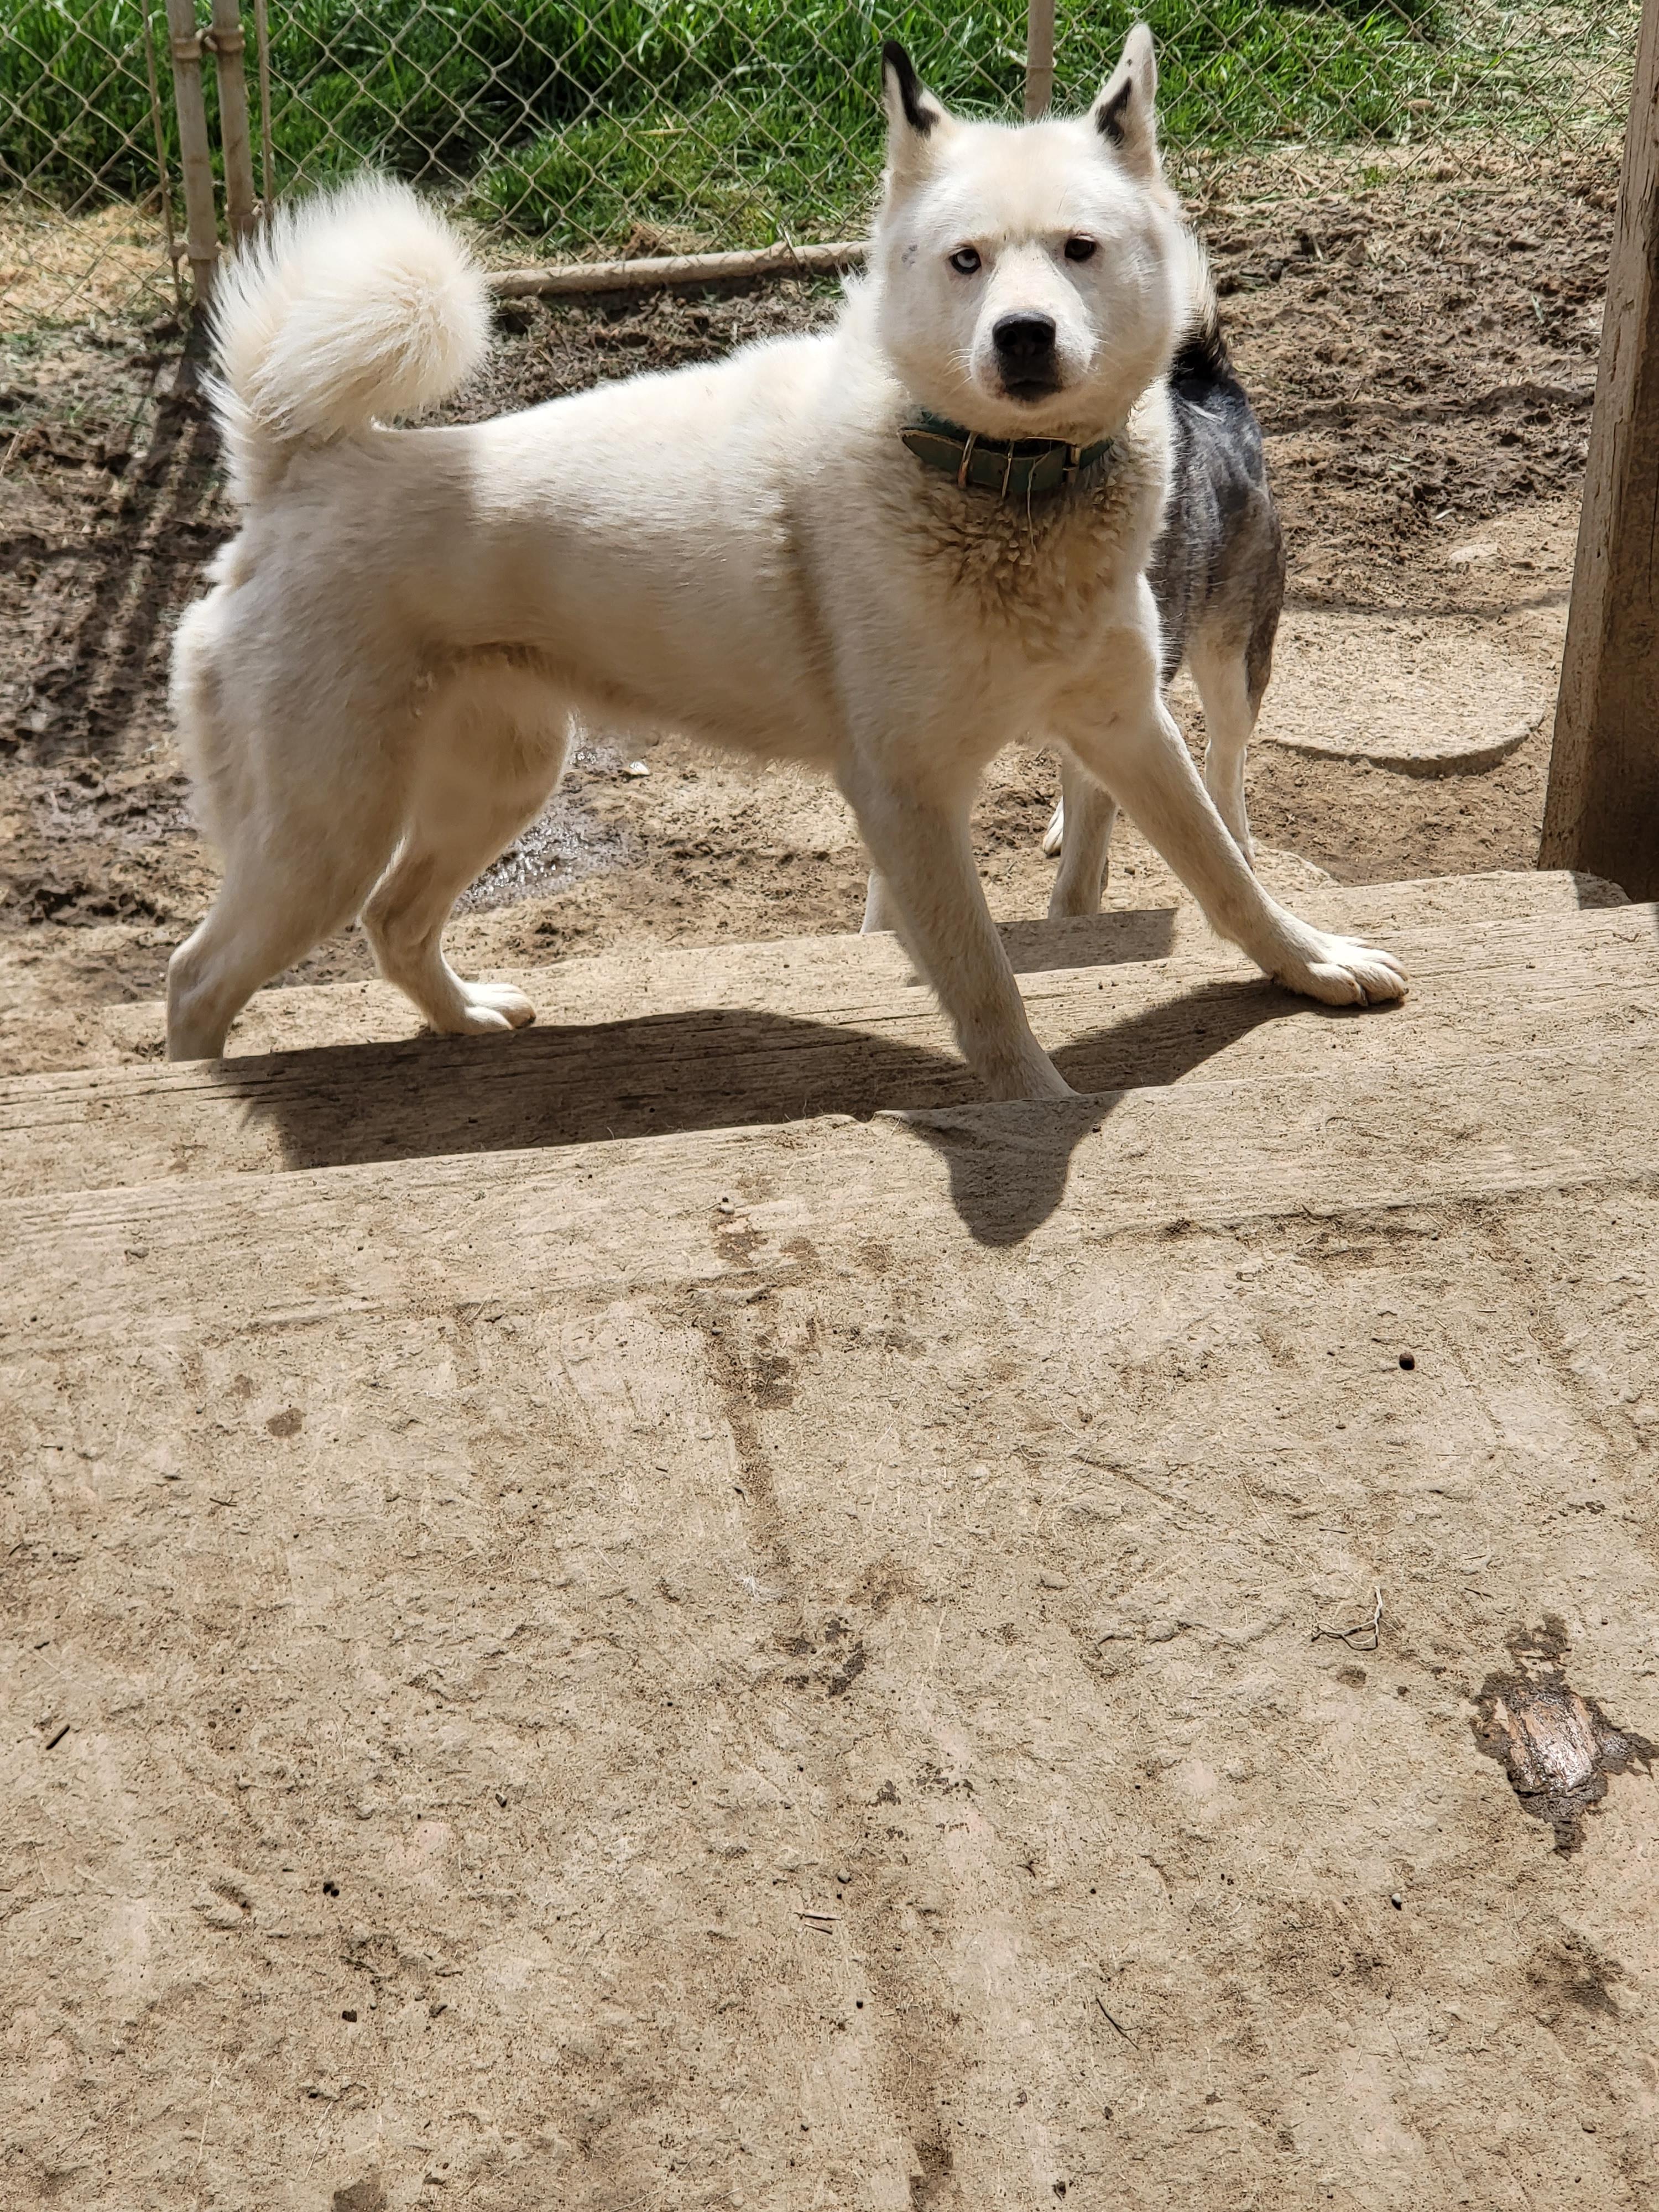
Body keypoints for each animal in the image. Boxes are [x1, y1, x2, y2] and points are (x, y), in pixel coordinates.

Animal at [167, 26, 1403, 1096]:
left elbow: (1223, 872)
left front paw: (1311, 965)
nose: (1023, 336)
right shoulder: (905, 794)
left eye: (1079, 249)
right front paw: (1035, 1106)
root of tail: (300, 468)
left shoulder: (1125, 725)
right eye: (966, 261)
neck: (994, 483)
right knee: (198, 976)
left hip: (497, 782)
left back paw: (466, 1019)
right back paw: (200, 1087)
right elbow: (987, 984)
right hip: (329, 832)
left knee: (393, 923)